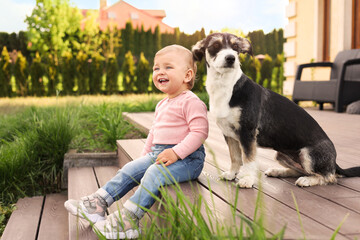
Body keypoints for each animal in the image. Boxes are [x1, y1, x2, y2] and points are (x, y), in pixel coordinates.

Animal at [193, 32, 360, 188]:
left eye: (236, 48)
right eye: (215, 45)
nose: (231, 58)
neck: (227, 86)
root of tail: (335, 162)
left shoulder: (247, 133)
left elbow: (248, 159)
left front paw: (247, 179)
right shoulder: (230, 134)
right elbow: (235, 157)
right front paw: (231, 174)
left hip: (308, 155)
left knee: (329, 177)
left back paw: (307, 180)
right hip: (280, 155)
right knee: (300, 170)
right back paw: (278, 171)